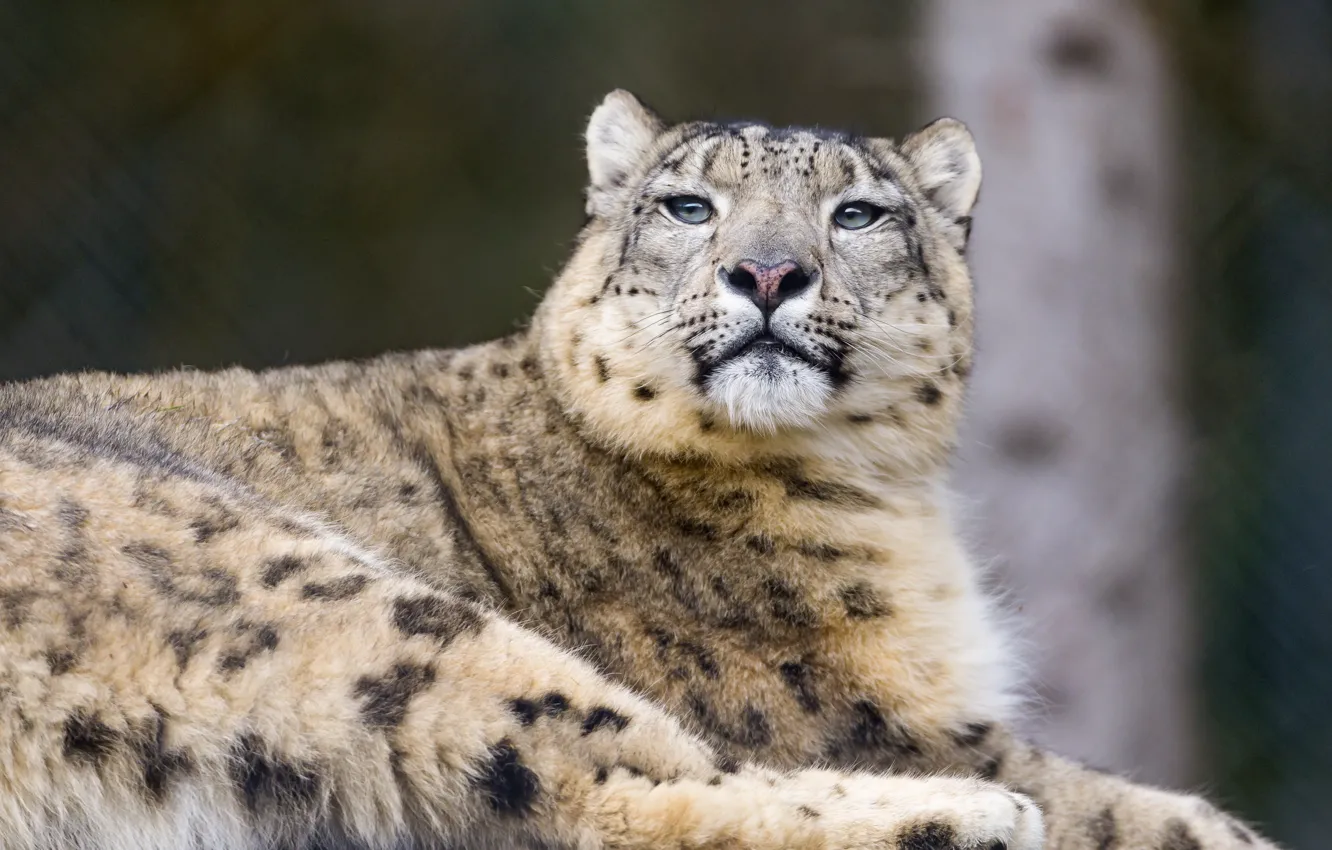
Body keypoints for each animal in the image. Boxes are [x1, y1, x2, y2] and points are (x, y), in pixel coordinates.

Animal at [0, 89, 1276, 850]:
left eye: (860, 214)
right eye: (687, 204)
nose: (767, 273)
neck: (885, 494)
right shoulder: (875, 709)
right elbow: (1134, 805)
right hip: (340, 602)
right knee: (601, 777)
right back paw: (967, 817)